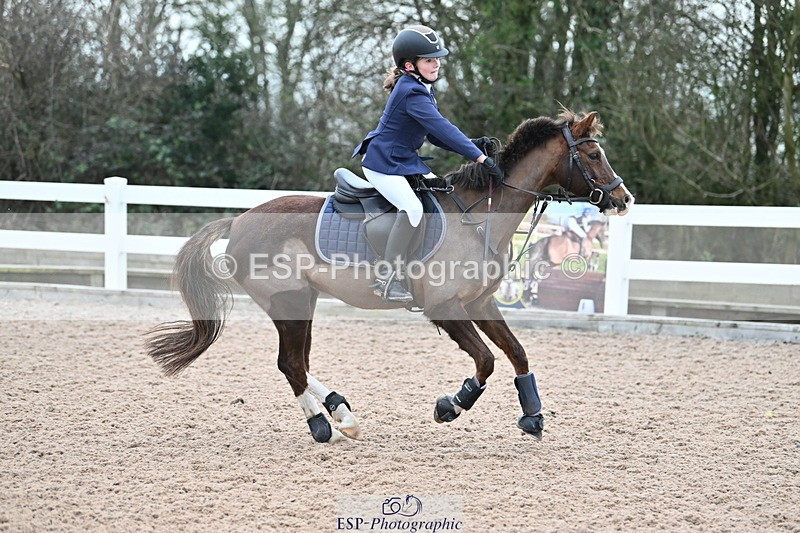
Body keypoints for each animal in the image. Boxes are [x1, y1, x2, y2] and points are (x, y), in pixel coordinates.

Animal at [145, 110, 634, 443]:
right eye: (593, 154)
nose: (624, 199)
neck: (479, 217)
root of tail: (239, 220)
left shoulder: (479, 303)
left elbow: (516, 353)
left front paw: (532, 415)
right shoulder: (446, 308)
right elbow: (486, 361)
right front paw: (451, 405)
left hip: (304, 302)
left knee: (297, 362)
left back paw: (341, 413)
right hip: (288, 302)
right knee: (290, 364)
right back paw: (323, 425)